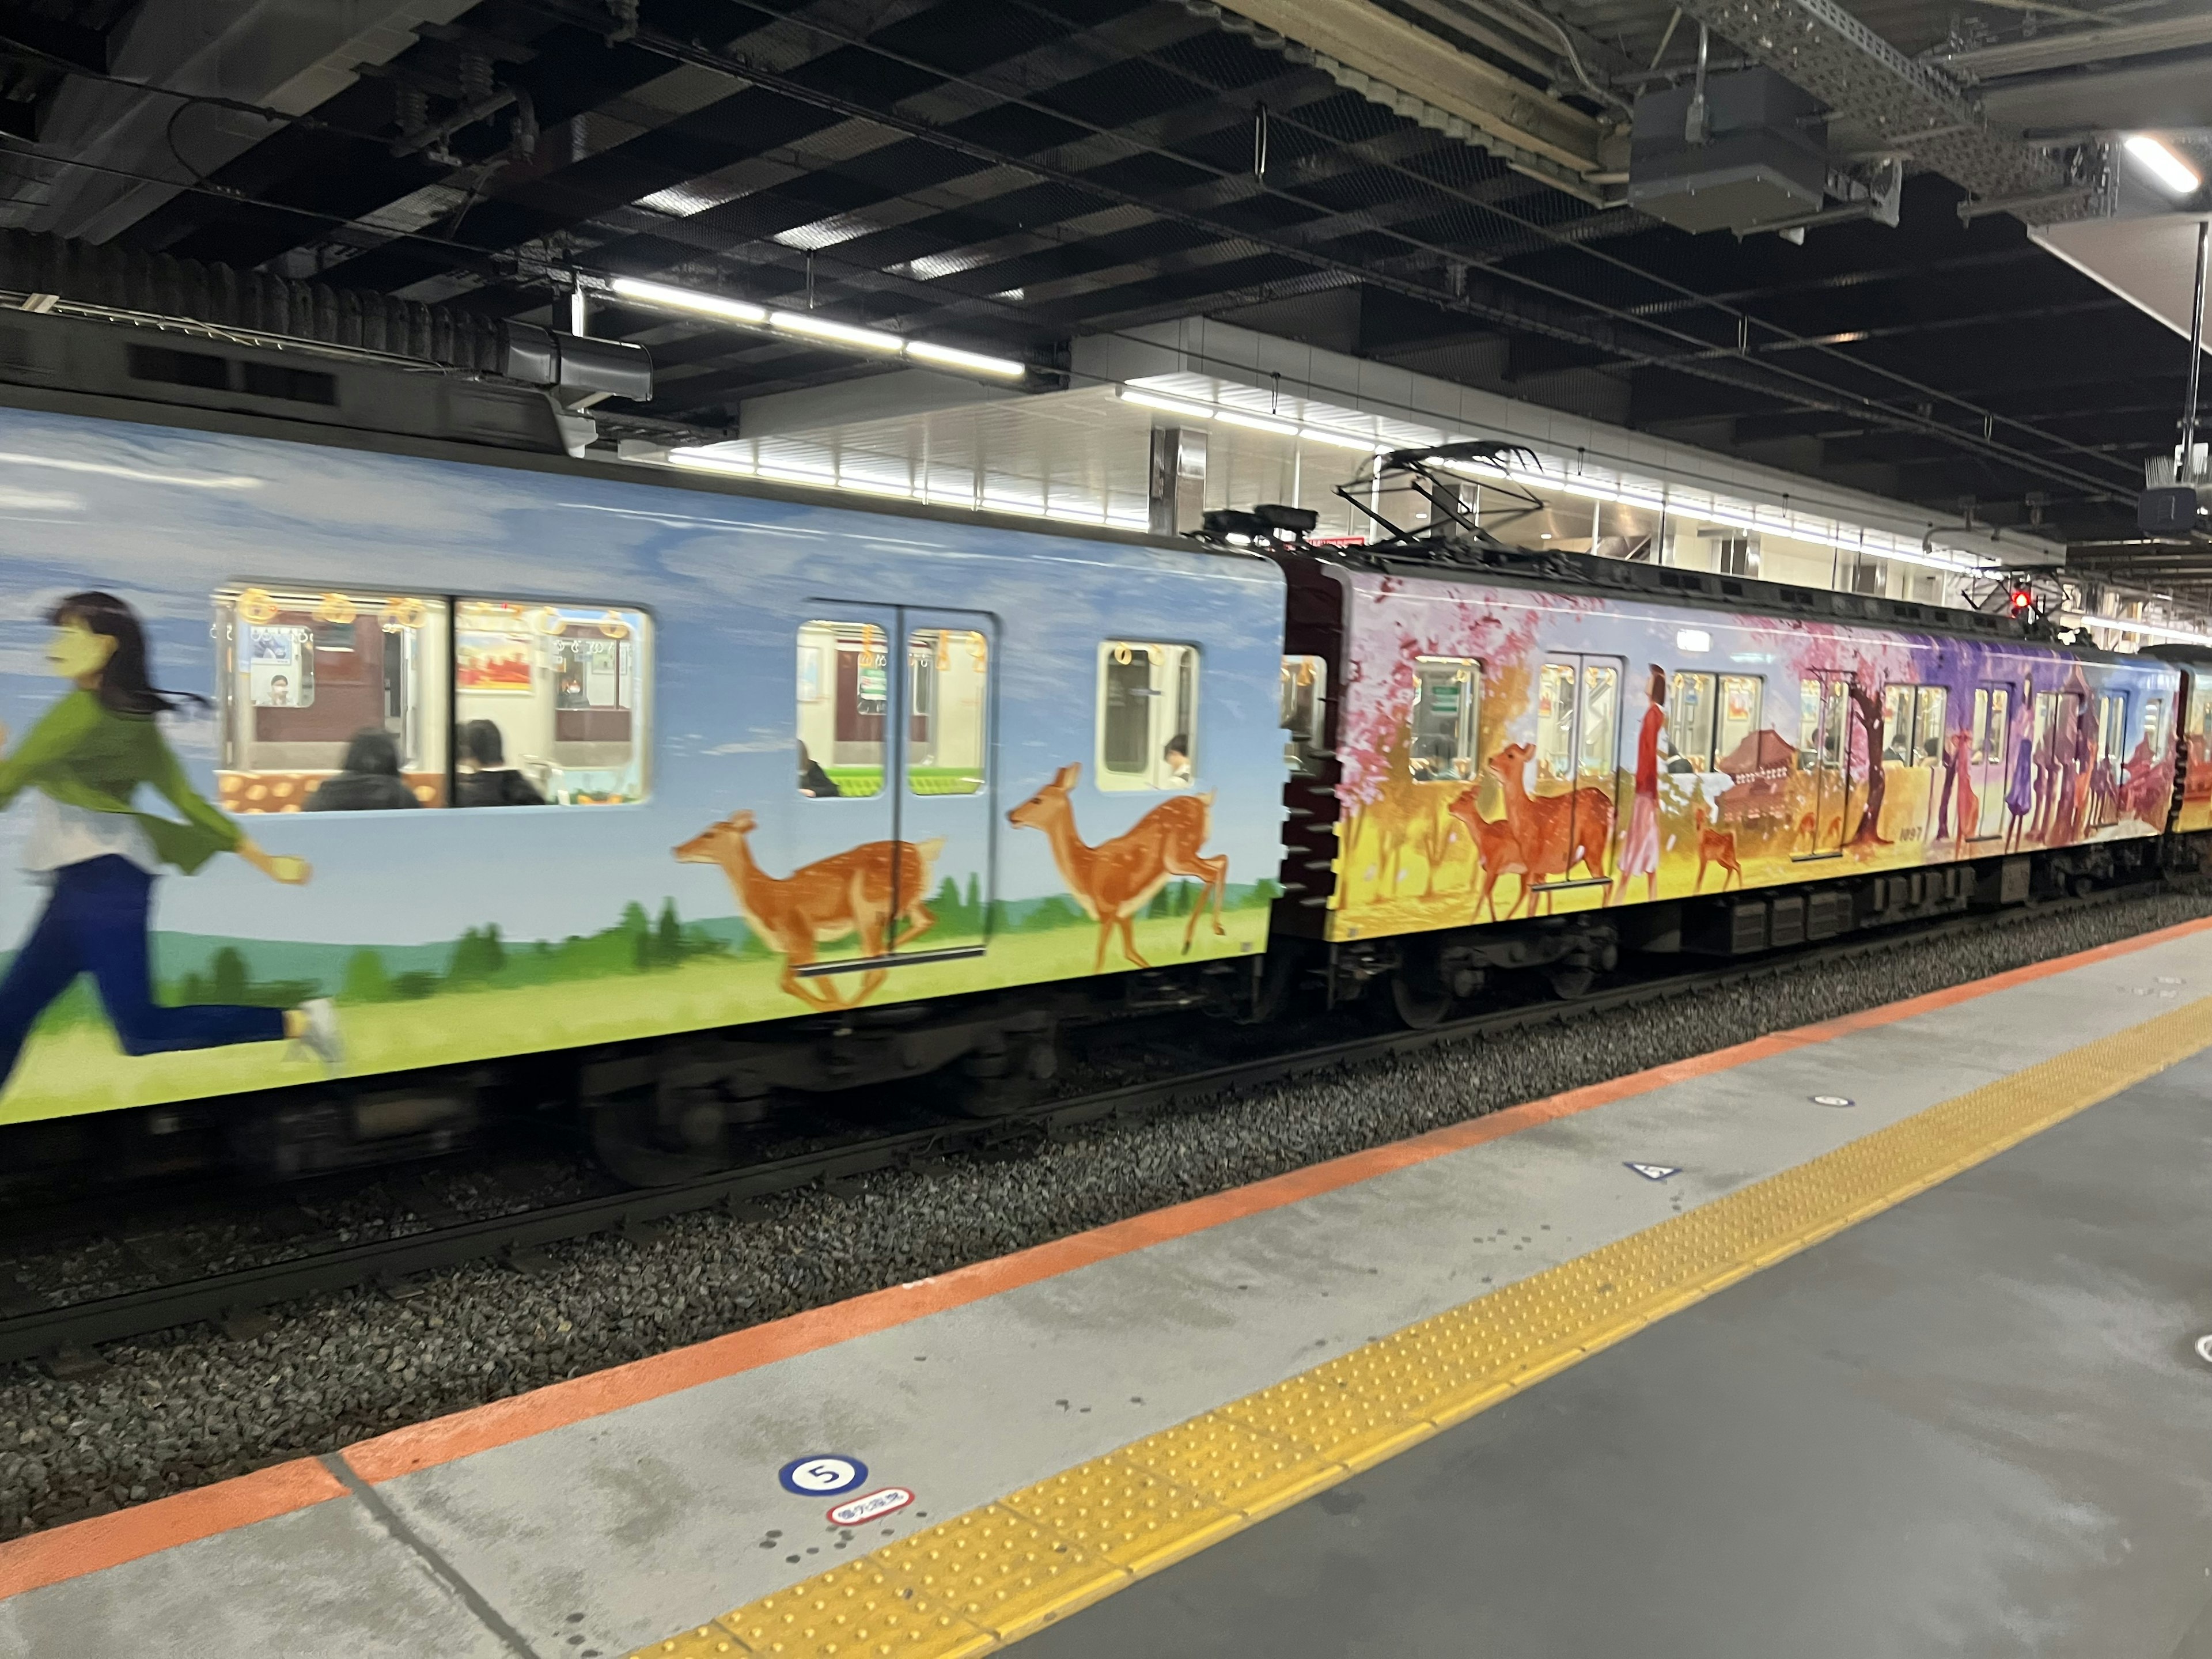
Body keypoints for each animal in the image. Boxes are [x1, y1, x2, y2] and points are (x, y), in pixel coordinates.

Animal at [677, 814, 946, 1013]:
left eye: (709, 833)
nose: (676, 850)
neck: (767, 897)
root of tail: (923, 851)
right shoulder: (793, 941)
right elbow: (786, 981)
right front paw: (830, 1005)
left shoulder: (799, 931)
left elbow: (817, 979)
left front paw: (835, 1005)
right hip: (905, 903)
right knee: (924, 922)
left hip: (868, 904)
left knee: (880, 963)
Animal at [1013, 765, 1238, 973]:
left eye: (1037, 799)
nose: (1011, 815)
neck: (1086, 868)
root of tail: (1205, 800)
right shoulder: (1124, 914)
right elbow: (1130, 952)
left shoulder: (1109, 908)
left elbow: (1100, 958)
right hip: (1188, 855)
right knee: (1221, 860)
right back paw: (1214, 931)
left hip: (1177, 857)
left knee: (1211, 871)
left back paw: (1191, 941)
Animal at [1478, 743, 1619, 925]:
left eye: (1511, 755)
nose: (1490, 760)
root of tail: (1610, 805)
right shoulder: (1537, 869)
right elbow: (1535, 903)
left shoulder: (1534, 863)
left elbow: (1531, 902)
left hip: (1593, 847)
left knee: (1608, 882)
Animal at [1690, 809, 1743, 898]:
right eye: (1695, 818)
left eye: (1703, 819)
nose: (1698, 827)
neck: (1701, 841)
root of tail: (1732, 838)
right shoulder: (1702, 858)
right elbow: (1699, 876)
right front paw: (1695, 892)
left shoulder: (1705, 859)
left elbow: (1700, 877)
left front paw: (1696, 892)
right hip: (1721, 860)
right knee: (1731, 868)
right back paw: (1724, 889)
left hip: (1727, 856)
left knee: (1738, 866)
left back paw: (1740, 886)